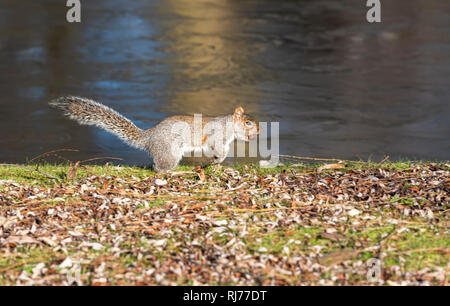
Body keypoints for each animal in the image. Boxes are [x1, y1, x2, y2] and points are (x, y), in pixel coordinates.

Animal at [48, 96, 260, 172]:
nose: (259, 131)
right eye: (248, 123)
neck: (229, 125)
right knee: (159, 168)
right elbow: (217, 148)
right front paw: (219, 158)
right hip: (170, 152)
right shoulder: (216, 135)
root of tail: (149, 138)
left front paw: (217, 162)